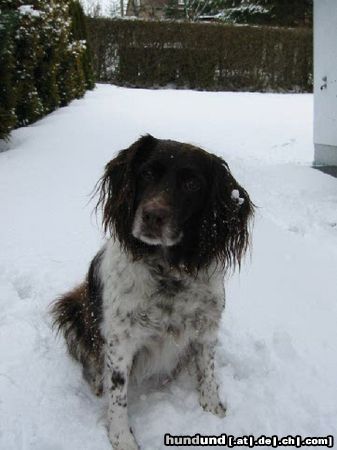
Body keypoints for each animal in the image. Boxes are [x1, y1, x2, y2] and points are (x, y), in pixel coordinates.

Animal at [51, 134, 252, 450]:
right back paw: (96, 381)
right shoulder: (120, 341)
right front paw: (122, 438)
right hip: (71, 306)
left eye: (192, 184)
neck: (168, 272)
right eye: (146, 173)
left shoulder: (207, 326)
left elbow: (207, 369)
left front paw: (213, 408)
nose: (152, 216)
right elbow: (118, 393)